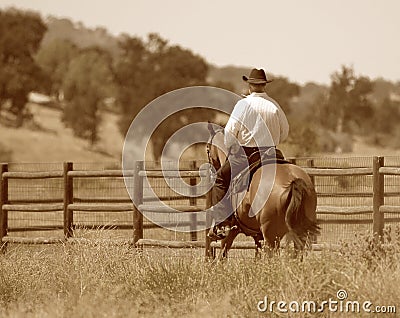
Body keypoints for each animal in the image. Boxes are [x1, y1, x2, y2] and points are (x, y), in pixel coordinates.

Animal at [208, 124, 320, 258]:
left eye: (207, 148)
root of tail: (294, 180)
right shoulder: (257, 235)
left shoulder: (231, 231)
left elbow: (222, 255)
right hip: (299, 233)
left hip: (271, 236)